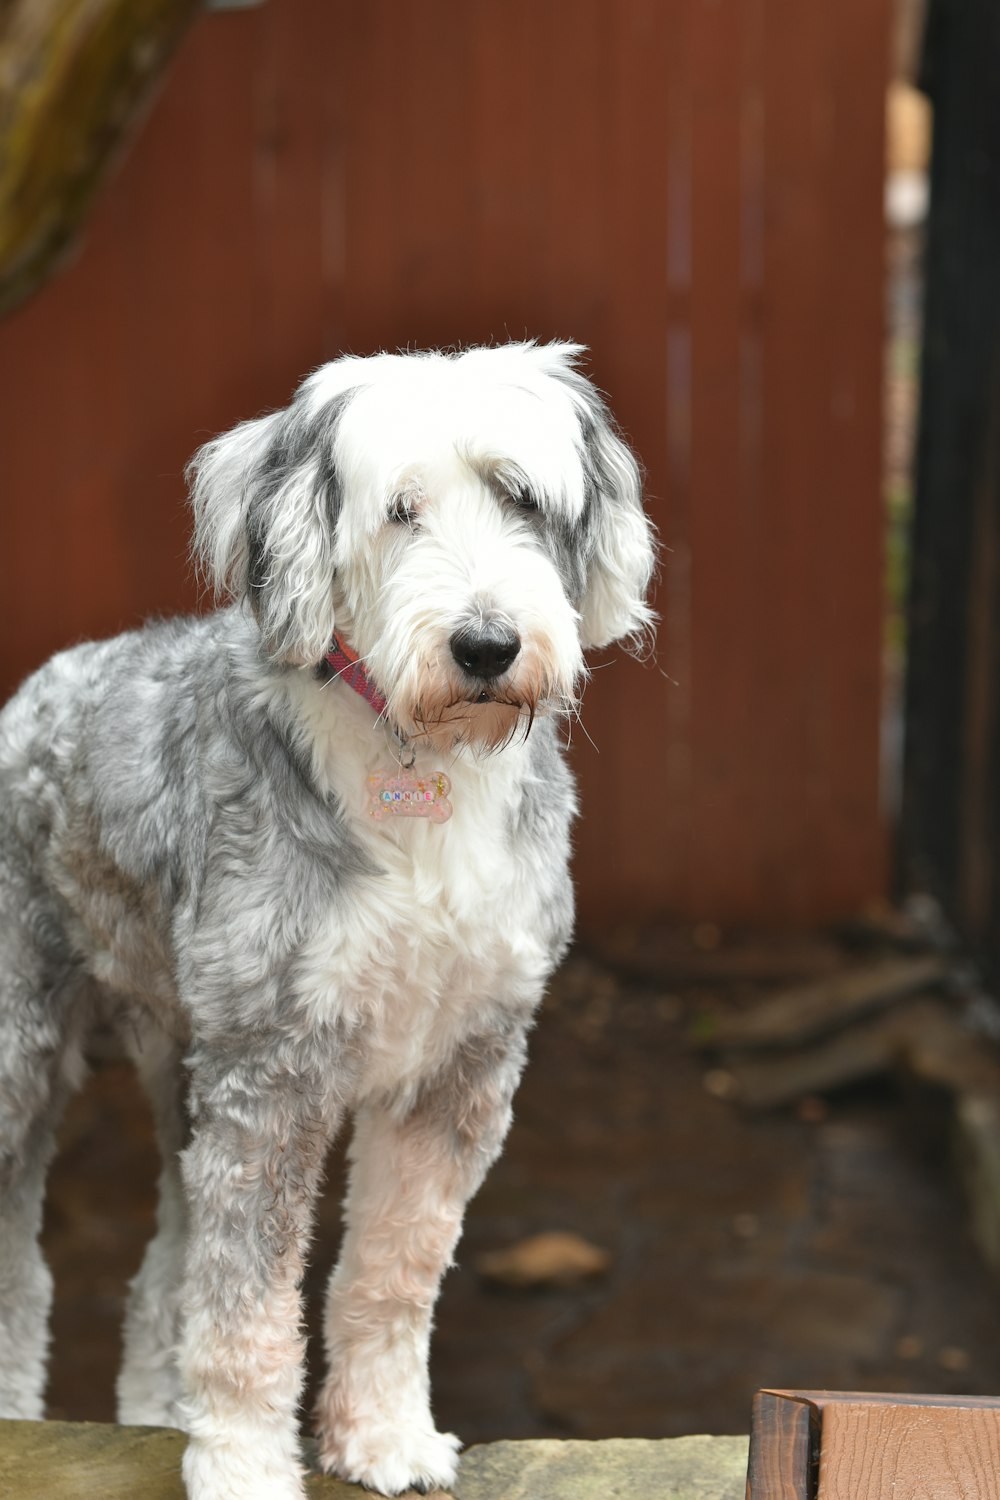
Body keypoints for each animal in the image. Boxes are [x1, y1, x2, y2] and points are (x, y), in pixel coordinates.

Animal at [0, 343, 656, 1500]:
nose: (486, 645)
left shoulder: (461, 1063)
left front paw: (384, 1438)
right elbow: (248, 1305)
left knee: (161, 1272)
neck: (422, 770)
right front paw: (243, 1468)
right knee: (24, 1271)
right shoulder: (271, 1074)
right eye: (399, 511)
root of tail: (43, 681)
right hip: (23, 1047)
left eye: (521, 498)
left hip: (179, 1065)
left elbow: (391, 1270)